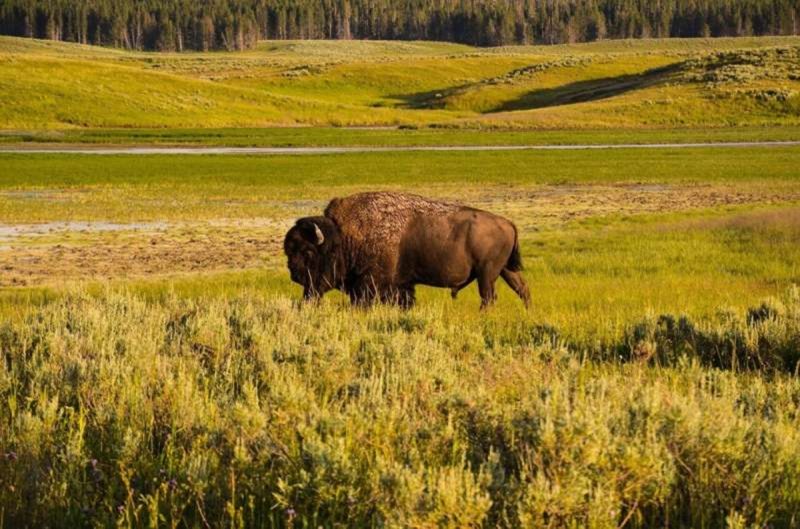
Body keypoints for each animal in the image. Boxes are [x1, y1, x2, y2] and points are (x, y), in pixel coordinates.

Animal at [282, 191, 532, 308]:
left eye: (308, 252)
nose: (294, 275)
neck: (344, 237)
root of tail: (508, 223)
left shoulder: (369, 285)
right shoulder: (401, 286)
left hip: (486, 273)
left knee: (489, 297)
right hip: (504, 270)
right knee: (522, 289)